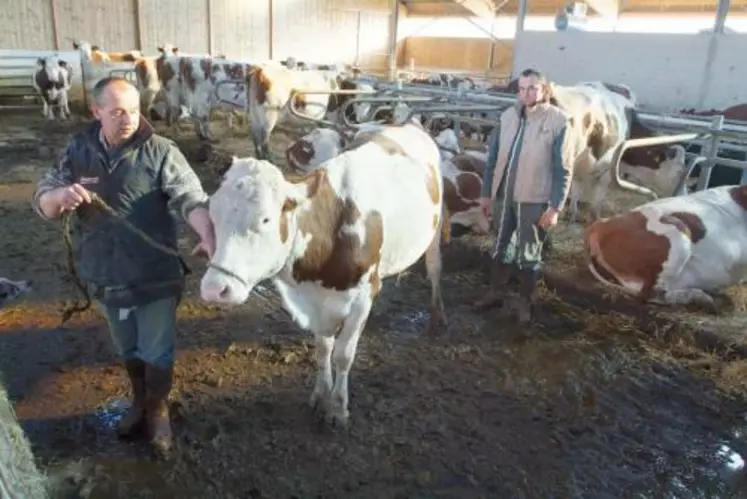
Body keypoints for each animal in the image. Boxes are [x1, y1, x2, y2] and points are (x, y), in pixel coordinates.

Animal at [199, 123, 448, 428]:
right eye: (212, 213)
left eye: (265, 219)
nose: (214, 289)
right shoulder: (315, 300)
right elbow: (322, 348)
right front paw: (320, 394)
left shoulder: (361, 297)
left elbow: (344, 354)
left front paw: (338, 408)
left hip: (435, 229)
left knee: (434, 268)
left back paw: (437, 316)